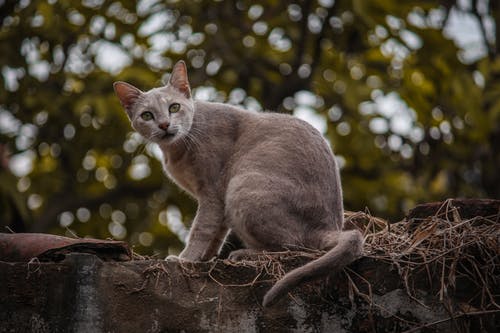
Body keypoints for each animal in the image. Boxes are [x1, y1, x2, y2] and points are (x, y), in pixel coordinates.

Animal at [113, 60, 364, 306]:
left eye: (174, 107)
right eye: (147, 115)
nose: (164, 125)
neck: (176, 149)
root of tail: (329, 226)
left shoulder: (213, 192)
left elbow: (201, 229)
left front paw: (184, 259)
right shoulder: (218, 201)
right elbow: (216, 233)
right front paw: (204, 259)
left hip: (242, 187)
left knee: (293, 248)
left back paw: (244, 255)